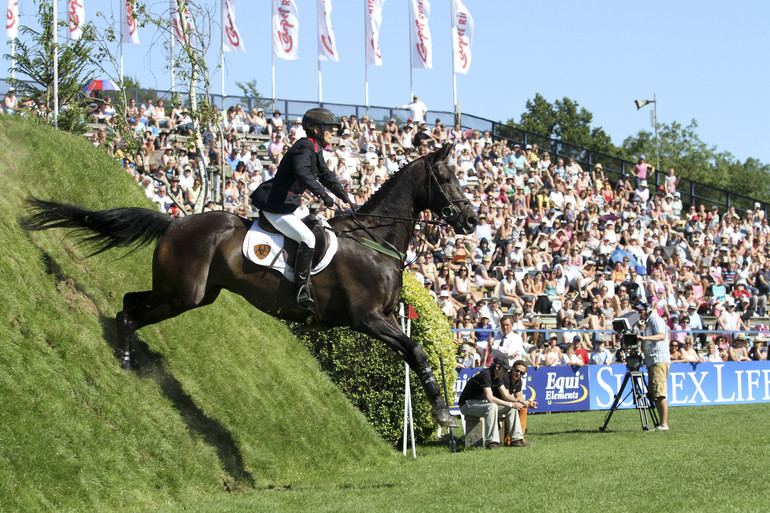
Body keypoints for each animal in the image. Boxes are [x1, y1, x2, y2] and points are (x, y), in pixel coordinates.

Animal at [22, 143, 474, 424]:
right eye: (447, 177)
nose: (470, 220)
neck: (374, 239)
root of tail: (175, 221)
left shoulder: (385, 318)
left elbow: (415, 352)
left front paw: (442, 410)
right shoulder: (367, 319)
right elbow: (417, 350)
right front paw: (443, 414)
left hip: (189, 294)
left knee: (130, 302)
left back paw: (125, 356)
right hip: (182, 295)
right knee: (131, 313)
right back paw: (125, 360)